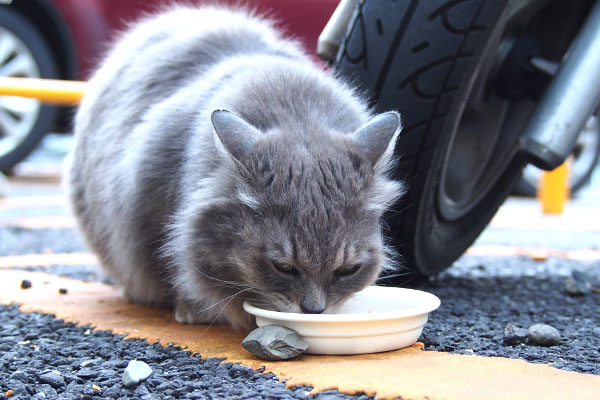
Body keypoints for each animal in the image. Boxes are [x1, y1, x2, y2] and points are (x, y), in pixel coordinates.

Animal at [67, 4, 404, 332]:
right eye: (283, 267)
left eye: (347, 270)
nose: (314, 310)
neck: (296, 109)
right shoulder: (150, 212)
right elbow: (175, 266)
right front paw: (190, 308)